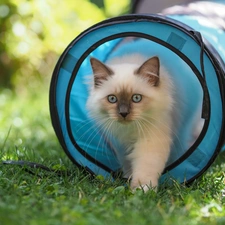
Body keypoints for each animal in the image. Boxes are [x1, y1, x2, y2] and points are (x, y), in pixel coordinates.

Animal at [85, 55, 174, 192]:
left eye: (136, 98)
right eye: (112, 99)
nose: (123, 113)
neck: (130, 131)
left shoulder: (150, 139)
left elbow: (145, 169)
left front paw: (143, 189)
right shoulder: (120, 147)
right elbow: (127, 164)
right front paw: (129, 179)